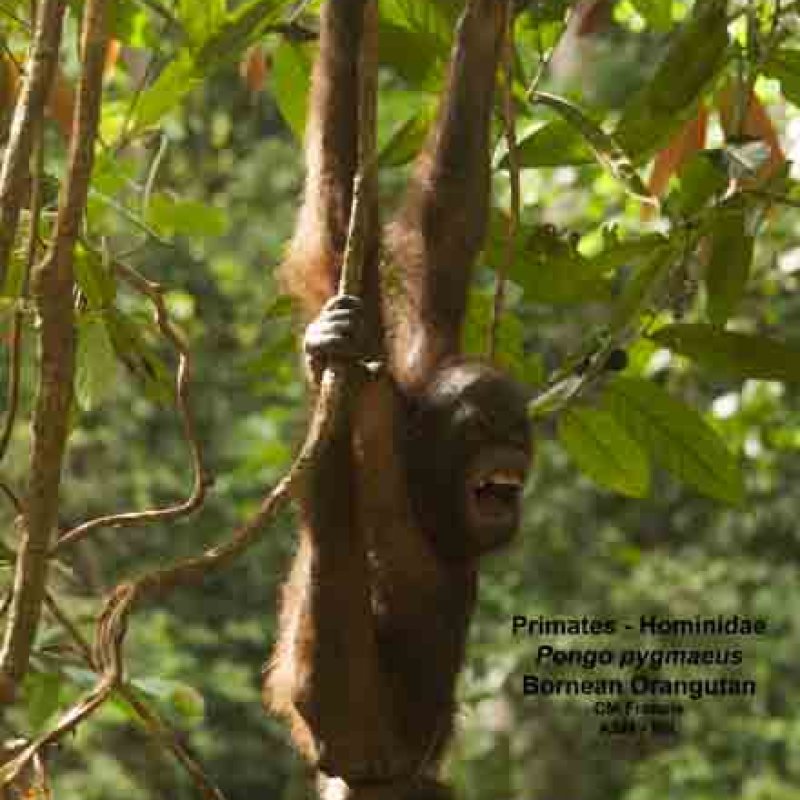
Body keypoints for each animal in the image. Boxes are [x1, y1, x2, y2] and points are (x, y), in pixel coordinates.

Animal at [263, 1, 532, 798]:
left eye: (518, 429)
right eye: (484, 428)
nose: (510, 452)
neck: (420, 483)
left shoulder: (416, 361)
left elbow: (442, 225)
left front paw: (483, 25)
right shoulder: (379, 421)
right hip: (363, 749)